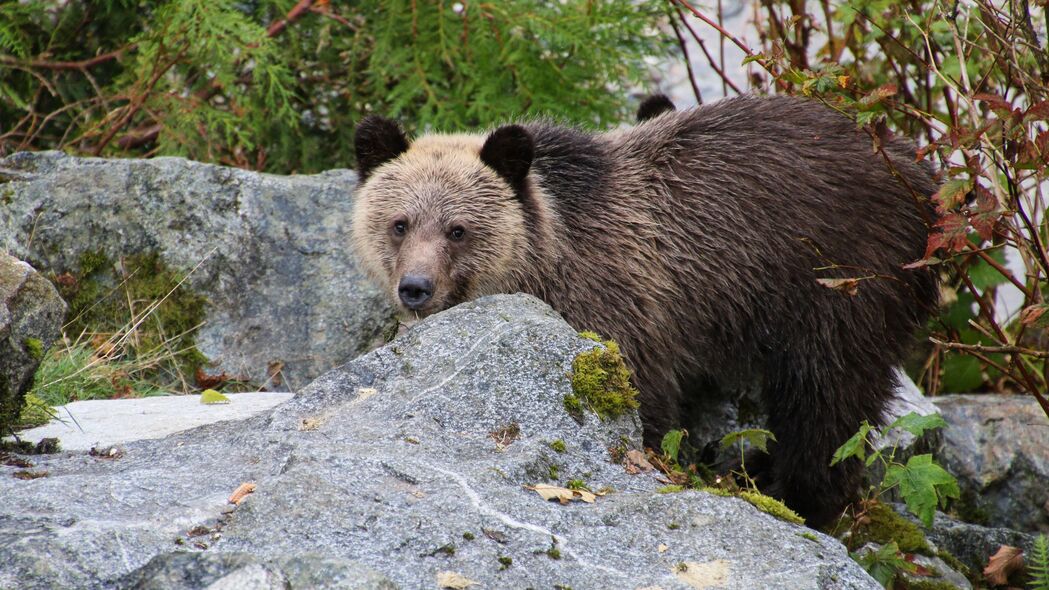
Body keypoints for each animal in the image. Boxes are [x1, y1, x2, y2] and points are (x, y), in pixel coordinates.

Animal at [348, 95, 939, 522]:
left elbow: (644, 400)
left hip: (839, 278)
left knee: (828, 396)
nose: (416, 288)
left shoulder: (620, 305)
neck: (546, 262)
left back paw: (800, 495)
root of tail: (918, 172)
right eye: (399, 222)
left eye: (458, 229)